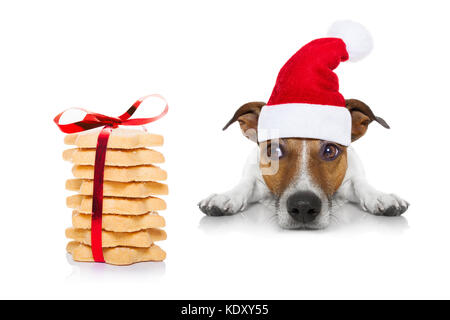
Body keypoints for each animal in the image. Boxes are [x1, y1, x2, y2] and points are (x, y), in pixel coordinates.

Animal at [199, 99, 410, 229]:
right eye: (274, 151)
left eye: (330, 150)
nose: (303, 206)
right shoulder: (256, 177)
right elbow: (246, 182)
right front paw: (226, 197)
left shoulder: (351, 176)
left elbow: (360, 183)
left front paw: (380, 197)